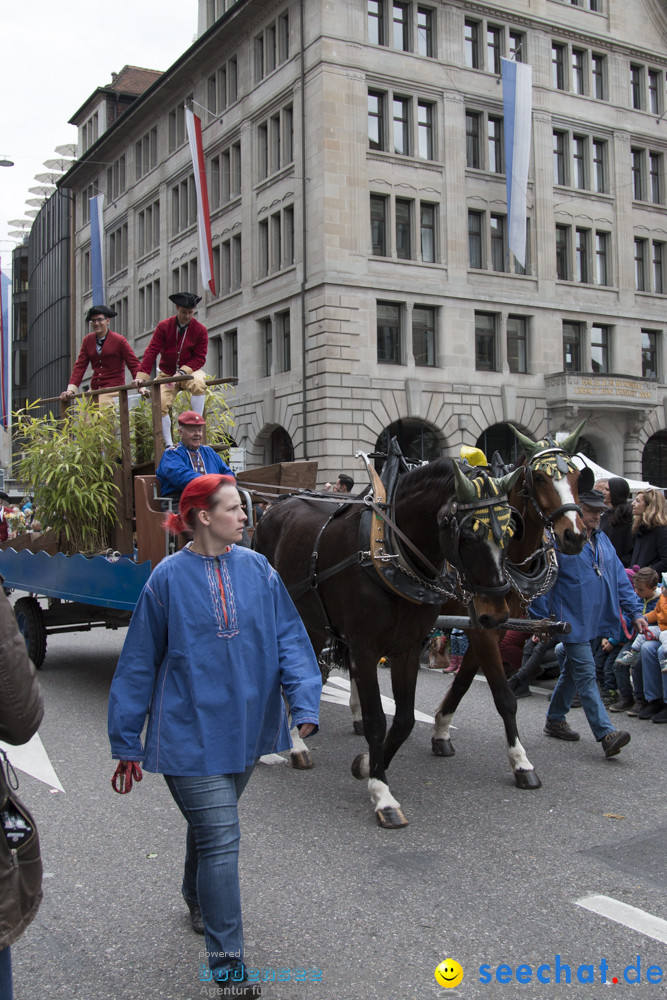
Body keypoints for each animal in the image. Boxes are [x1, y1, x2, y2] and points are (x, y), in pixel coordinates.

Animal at [253, 458, 524, 824]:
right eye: (467, 535)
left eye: (510, 531)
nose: (496, 615)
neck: (389, 554)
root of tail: (275, 506)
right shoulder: (366, 649)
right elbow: (376, 721)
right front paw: (382, 796)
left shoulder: (406, 647)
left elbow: (405, 720)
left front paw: (368, 764)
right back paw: (294, 744)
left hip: (313, 623)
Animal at [428, 418, 588, 784]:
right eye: (540, 478)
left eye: (576, 476)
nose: (574, 535)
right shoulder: (480, 627)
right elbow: (503, 696)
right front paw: (520, 762)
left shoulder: (493, 624)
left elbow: (463, 682)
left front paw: (441, 731)